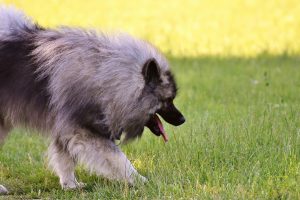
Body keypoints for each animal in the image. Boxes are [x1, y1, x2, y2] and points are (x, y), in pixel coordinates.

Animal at [0, 5, 185, 194]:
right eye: (168, 100)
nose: (182, 119)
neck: (105, 78)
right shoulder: (83, 129)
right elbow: (119, 159)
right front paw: (140, 180)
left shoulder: (67, 127)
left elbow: (65, 159)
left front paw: (70, 184)